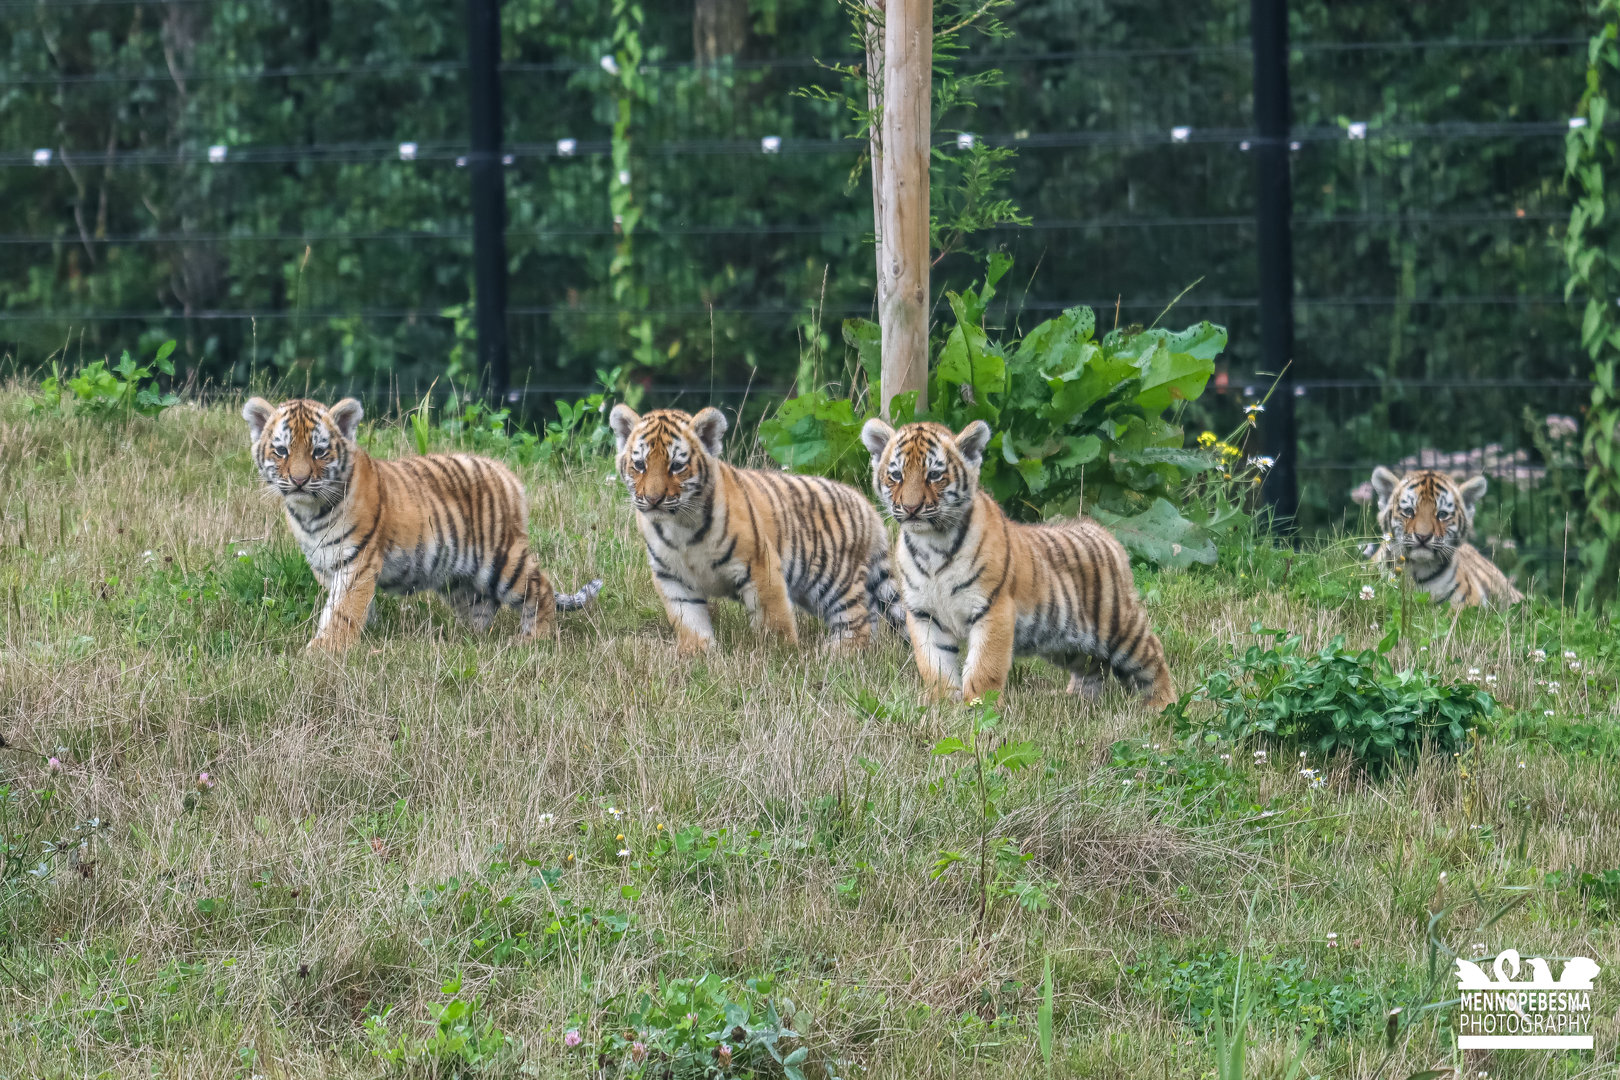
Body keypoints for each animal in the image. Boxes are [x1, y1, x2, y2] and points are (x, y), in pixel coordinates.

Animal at [242, 396, 601, 652]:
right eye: (281, 451)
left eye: (319, 452)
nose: (299, 481)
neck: (309, 513)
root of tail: (505, 473)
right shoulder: (324, 566)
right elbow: (344, 607)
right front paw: (364, 632)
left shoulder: (357, 560)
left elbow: (343, 610)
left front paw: (324, 652)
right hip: (457, 575)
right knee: (483, 606)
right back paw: (466, 641)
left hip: (501, 558)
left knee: (540, 587)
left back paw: (533, 639)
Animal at [608, 404, 903, 654]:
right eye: (640, 465)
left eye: (677, 466)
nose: (653, 499)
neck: (679, 526)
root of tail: (867, 507)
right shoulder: (672, 577)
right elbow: (689, 619)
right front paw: (697, 653)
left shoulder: (761, 567)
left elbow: (774, 619)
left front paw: (781, 655)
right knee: (870, 617)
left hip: (835, 579)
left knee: (858, 621)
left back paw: (836, 654)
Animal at [860, 418, 1175, 707]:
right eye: (896, 475)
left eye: (935, 475)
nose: (911, 508)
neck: (931, 544)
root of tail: (1103, 532)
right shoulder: (924, 614)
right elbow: (934, 665)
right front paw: (942, 704)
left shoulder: (992, 608)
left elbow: (984, 667)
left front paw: (980, 710)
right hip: (1066, 641)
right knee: (1093, 668)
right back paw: (1079, 702)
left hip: (1117, 626)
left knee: (1152, 657)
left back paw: (1162, 706)